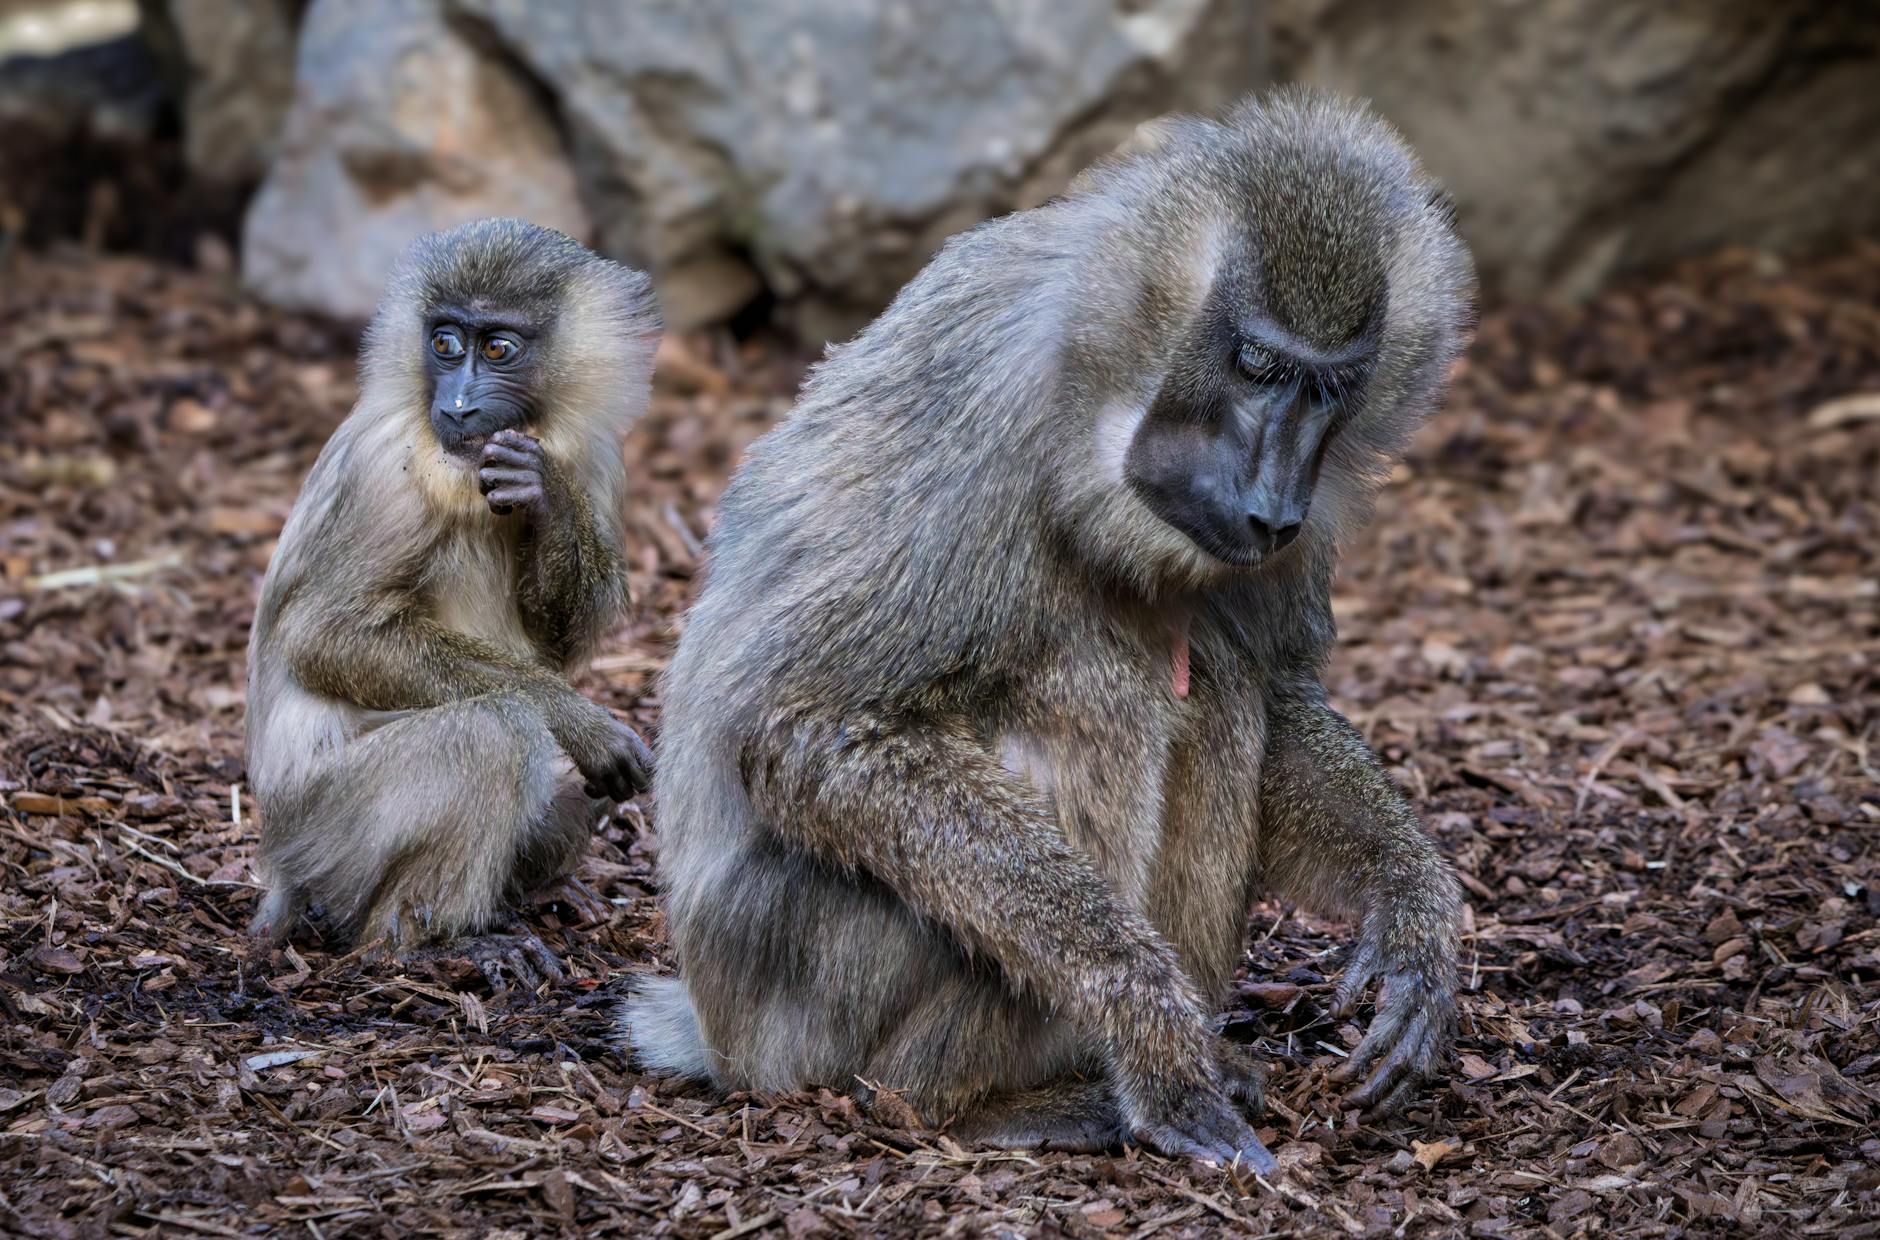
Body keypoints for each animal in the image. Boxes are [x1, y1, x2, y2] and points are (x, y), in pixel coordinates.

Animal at [243, 218, 660, 968]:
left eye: (496, 348)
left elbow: (560, 643)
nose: (459, 405)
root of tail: (280, 861)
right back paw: (430, 943)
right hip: (325, 826)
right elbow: (324, 636)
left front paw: (547, 498)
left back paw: (532, 890)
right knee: (495, 732)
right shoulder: (390, 469)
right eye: (444, 343)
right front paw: (580, 721)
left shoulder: (594, 455)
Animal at [622, 88, 1472, 1167]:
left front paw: (1409, 904)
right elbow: (813, 727)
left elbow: (1278, 694)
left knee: (1216, 686)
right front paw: (1147, 1020)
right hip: (798, 1005)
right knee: (1089, 687)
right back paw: (962, 1103)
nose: (1272, 499)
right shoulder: (985, 420)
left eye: (1326, 389)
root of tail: (717, 1036)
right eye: (1255, 364)